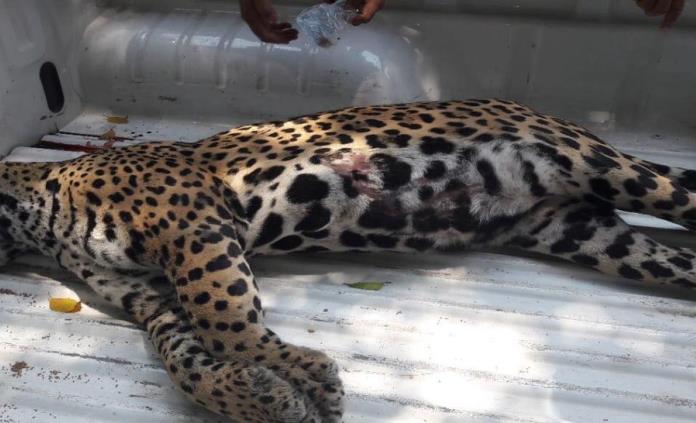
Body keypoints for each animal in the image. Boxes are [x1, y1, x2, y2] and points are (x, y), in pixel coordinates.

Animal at [1, 98, 696, 422]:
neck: (39, 218)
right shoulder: (150, 296)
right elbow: (186, 359)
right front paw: (264, 396)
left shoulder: (193, 226)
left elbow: (228, 323)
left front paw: (307, 378)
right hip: (587, 235)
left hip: (597, 165)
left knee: (680, 197)